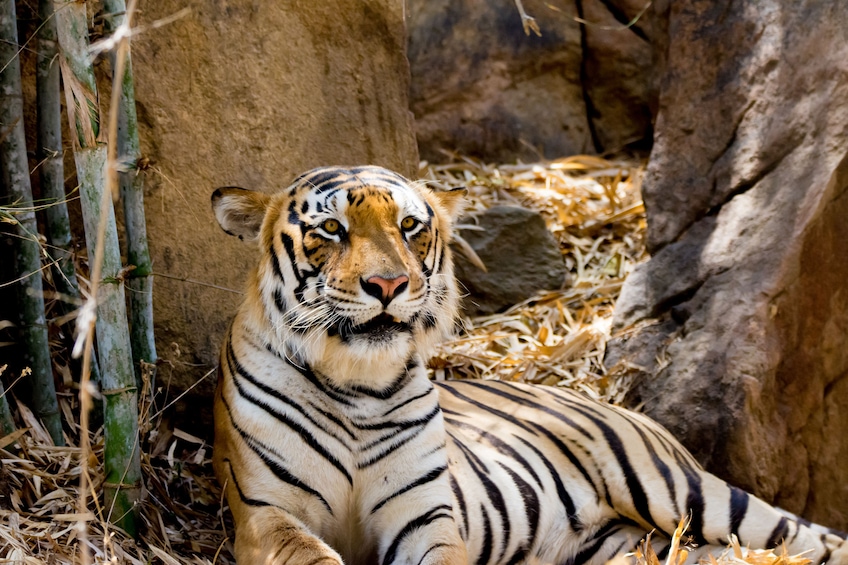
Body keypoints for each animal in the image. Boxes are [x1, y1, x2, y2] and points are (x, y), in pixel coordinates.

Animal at [210, 164, 848, 564]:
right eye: (331, 229)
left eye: (409, 227)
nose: (388, 284)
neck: (357, 384)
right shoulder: (267, 514)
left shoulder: (425, 513)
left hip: (682, 491)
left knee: (810, 539)